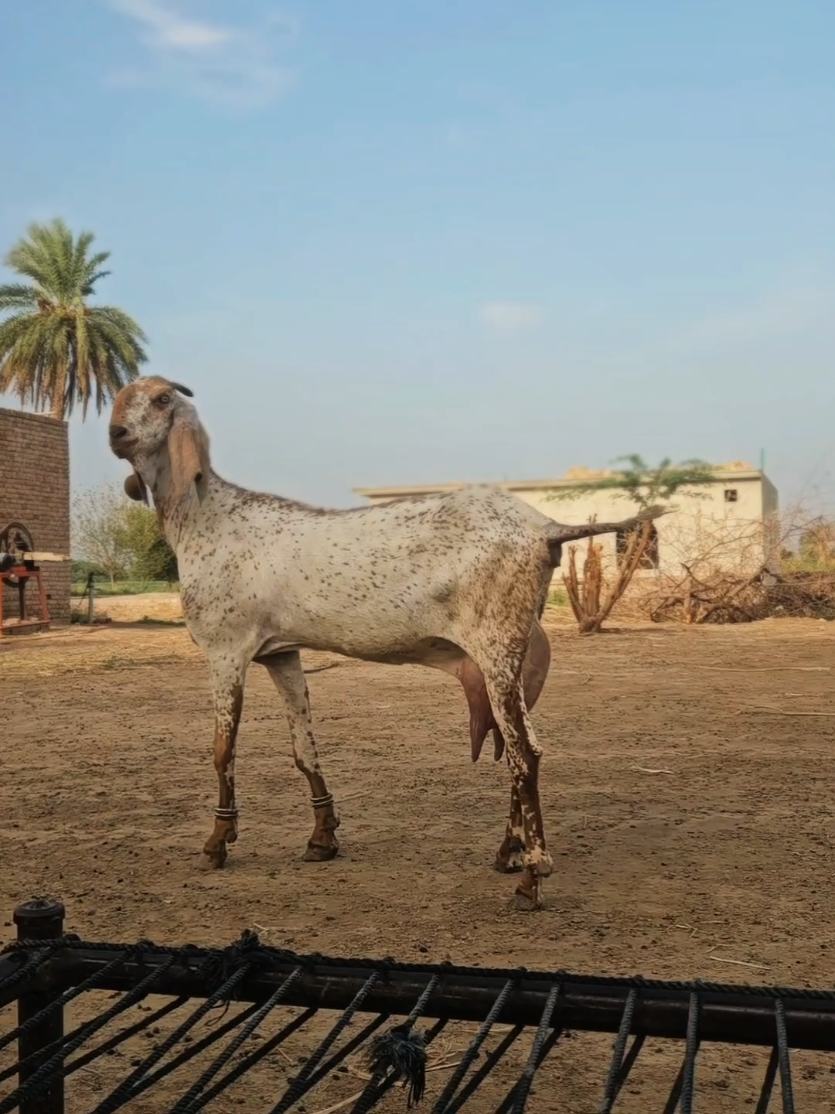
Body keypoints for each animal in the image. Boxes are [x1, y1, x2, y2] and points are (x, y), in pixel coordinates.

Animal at [109, 376, 664, 909]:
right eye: (121, 397)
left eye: (161, 399)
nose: (117, 434)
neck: (207, 516)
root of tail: (546, 527)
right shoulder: (280, 653)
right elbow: (304, 747)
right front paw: (322, 838)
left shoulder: (226, 650)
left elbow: (222, 750)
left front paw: (217, 843)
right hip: (515, 656)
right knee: (512, 752)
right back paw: (508, 854)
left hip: (497, 647)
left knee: (526, 755)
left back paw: (531, 878)